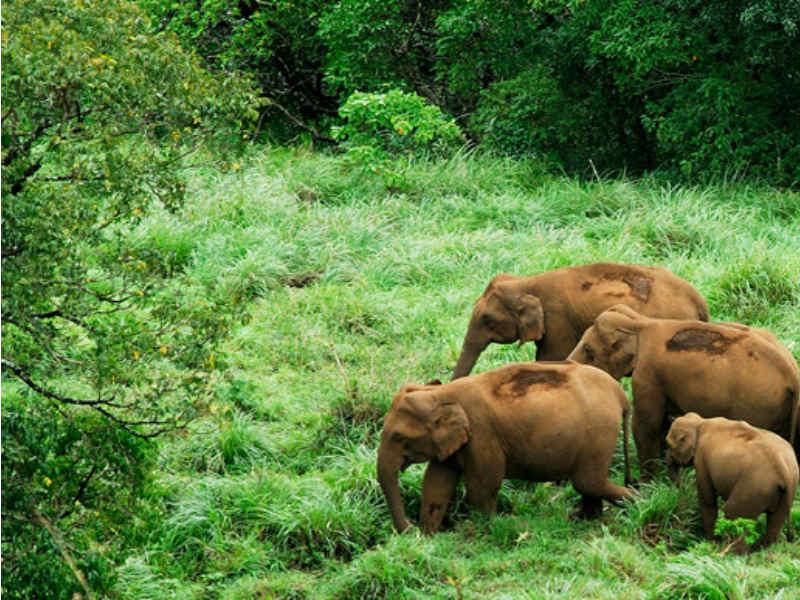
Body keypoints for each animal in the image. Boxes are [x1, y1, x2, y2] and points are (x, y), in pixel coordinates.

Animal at [378, 360, 636, 536]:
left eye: (399, 436)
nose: (410, 529)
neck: (441, 393)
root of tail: (619, 393)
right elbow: (436, 484)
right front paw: (429, 537)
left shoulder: (482, 434)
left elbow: (481, 488)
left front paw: (488, 528)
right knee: (589, 484)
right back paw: (584, 520)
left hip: (599, 432)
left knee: (587, 482)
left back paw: (637, 503)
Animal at [568, 304, 800, 478]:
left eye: (588, 350)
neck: (639, 322)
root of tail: (793, 373)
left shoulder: (648, 374)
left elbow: (647, 425)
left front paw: (647, 485)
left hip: (757, 404)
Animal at [664, 414, 796, 552]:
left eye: (668, 443)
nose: (680, 490)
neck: (700, 422)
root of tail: (784, 472)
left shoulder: (701, 459)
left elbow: (707, 498)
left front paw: (711, 542)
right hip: (784, 493)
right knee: (775, 522)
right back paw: (760, 549)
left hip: (754, 487)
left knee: (734, 513)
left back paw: (732, 551)